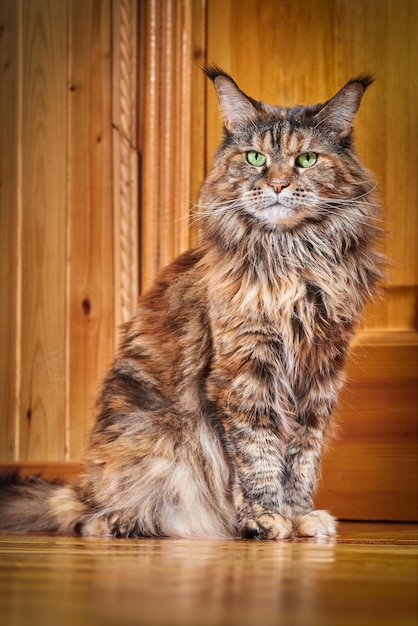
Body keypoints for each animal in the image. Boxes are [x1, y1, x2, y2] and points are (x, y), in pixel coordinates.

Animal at [0, 67, 382, 536]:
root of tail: (84, 490)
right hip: (151, 442)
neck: (292, 258)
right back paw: (132, 521)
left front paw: (299, 517)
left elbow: (302, 457)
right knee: (92, 520)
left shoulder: (319, 374)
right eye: (255, 158)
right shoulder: (243, 372)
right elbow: (258, 455)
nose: (277, 184)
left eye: (307, 159)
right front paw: (265, 518)